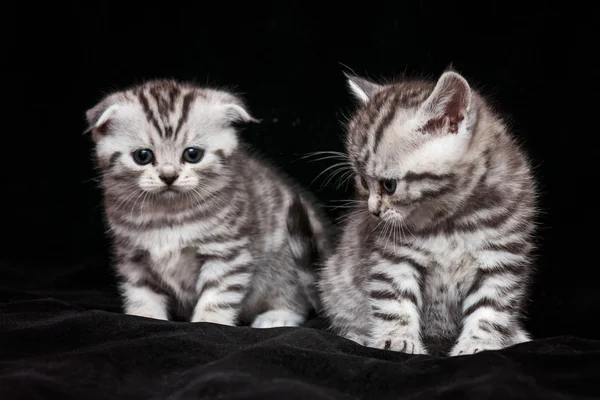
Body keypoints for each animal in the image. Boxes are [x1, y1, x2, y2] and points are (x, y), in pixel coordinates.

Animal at [83, 79, 332, 328]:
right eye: (143, 156)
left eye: (192, 154)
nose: (168, 176)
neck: (167, 215)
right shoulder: (132, 257)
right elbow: (141, 294)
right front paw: (145, 317)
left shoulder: (227, 253)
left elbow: (217, 297)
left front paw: (209, 322)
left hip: (286, 264)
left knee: (297, 298)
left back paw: (277, 316)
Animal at [322, 69, 536, 356]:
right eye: (364, 183)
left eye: (389, 186)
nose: (373, 211)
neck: (452, 219)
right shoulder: (394, 258)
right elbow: (395, 301)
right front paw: (397, 340)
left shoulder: (501, 259)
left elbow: (490, 309)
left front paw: (479, 344)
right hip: (335, 281)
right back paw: (358, 335)